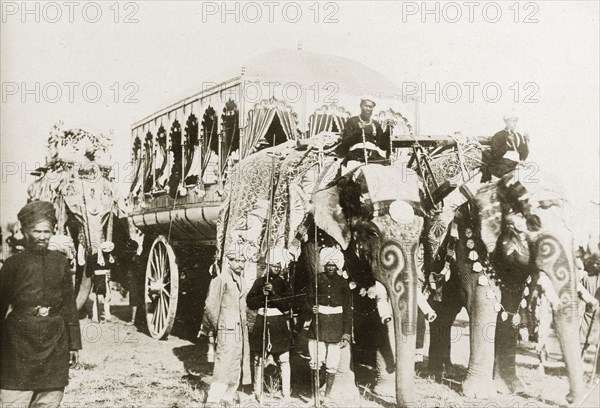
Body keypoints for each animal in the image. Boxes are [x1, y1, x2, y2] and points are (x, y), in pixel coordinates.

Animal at [213, 135, 424, 406]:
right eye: (372, 232)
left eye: (420, 232)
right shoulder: (316, 233)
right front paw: (342, 396)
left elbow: (378, 301)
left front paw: (383, 392)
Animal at [426, 167, 584, 404]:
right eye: (531, 224)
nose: (569, 398)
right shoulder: (469, 246)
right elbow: (484, 306)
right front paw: (479, 394)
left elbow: (510, 309)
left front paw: (513, 389)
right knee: (441, 312)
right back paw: (436, 374)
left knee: (445, 315)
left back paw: (445, 372)